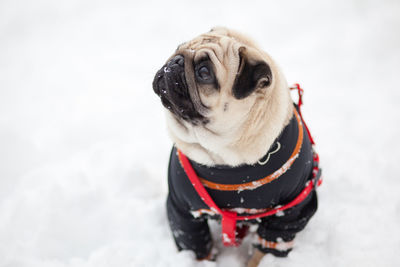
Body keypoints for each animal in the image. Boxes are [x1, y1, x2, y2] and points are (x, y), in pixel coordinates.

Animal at [152, 27, 318, 267]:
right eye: (177, 48)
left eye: (204, 72)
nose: (175, 60)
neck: (224, 153)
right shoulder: (183, 211)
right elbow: (198, 247)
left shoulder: (288, 215)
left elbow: (264, 252)